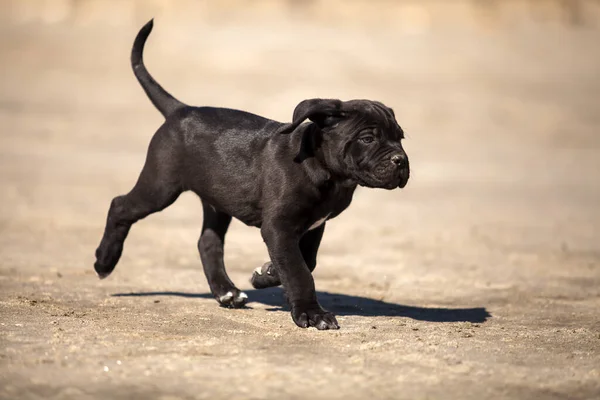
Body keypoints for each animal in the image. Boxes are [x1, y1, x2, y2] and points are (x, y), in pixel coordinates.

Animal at [94, 20, 410, 330]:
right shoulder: (279, 226)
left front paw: (266, 274)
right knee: (120, 205)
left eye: (400, 138)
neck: (324, 169)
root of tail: (181, 110)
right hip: (161, 185)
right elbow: (299, 270)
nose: (401, 161)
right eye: (368, 138)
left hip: (216, 200)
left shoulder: (313, 226)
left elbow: (305, 261)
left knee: (207, 242)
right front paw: (311, 313)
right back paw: (104, 261)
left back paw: (226, 292)